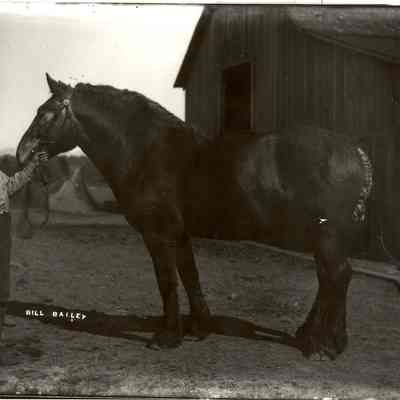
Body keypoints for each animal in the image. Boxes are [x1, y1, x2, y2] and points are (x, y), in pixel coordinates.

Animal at [16, 73, 373, 360]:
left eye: (46, 113)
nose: (21, 154)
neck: (145, 151)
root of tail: (355, 152)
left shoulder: (157, 234)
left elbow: (167, 282)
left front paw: (167, 337)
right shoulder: (179, 233)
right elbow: (190, 276)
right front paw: (200, 328)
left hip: (327, 236)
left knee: (337, 276)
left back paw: (327, 345)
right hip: (320, 235)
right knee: (328, 278)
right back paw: (312, 336)